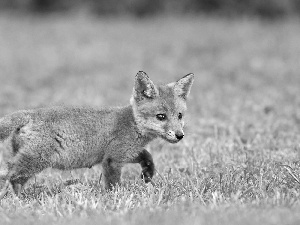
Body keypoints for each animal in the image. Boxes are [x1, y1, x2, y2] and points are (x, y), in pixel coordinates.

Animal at [0, 71, 195, 193]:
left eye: (179, 115)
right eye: (161, 116)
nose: (180, 135)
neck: (131, 124)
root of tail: (29, 113)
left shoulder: (125, 153)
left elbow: (147, 156)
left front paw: (147, 174)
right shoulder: (112, 159)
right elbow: (113, 185)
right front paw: (114, 199)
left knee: (12, 177)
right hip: (34, 161)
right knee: (8, 175)